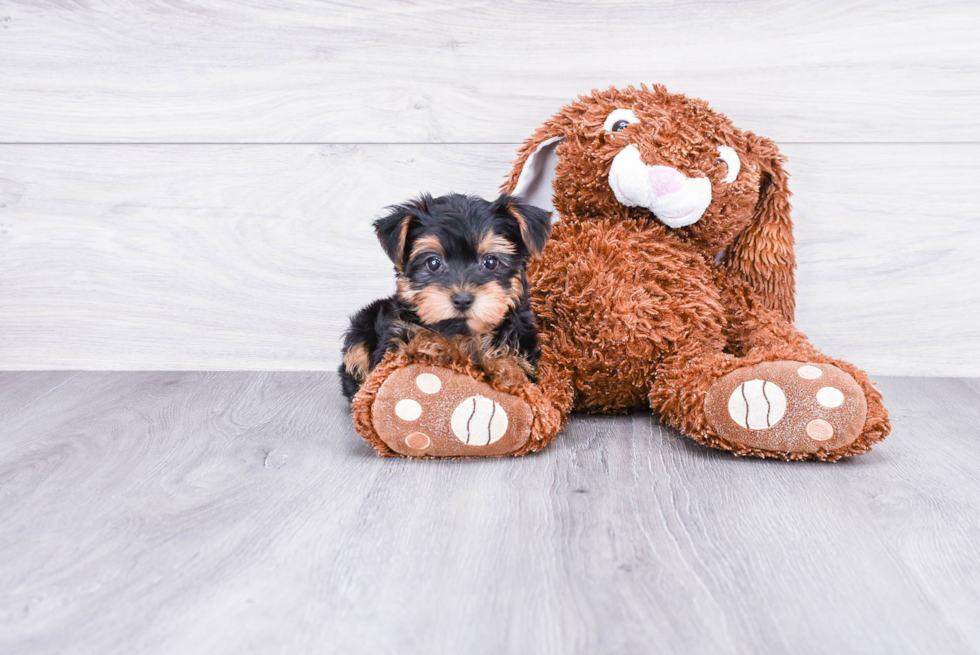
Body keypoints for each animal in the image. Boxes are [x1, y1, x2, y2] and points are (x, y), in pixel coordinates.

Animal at [338, 193, 552, 400]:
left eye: (490, 262)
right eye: (433, 263)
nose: (462, 300)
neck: (461, 332)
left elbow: (516, 367)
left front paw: (506, 370)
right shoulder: (392, 344)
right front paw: (431, 345)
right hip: (362, 327)